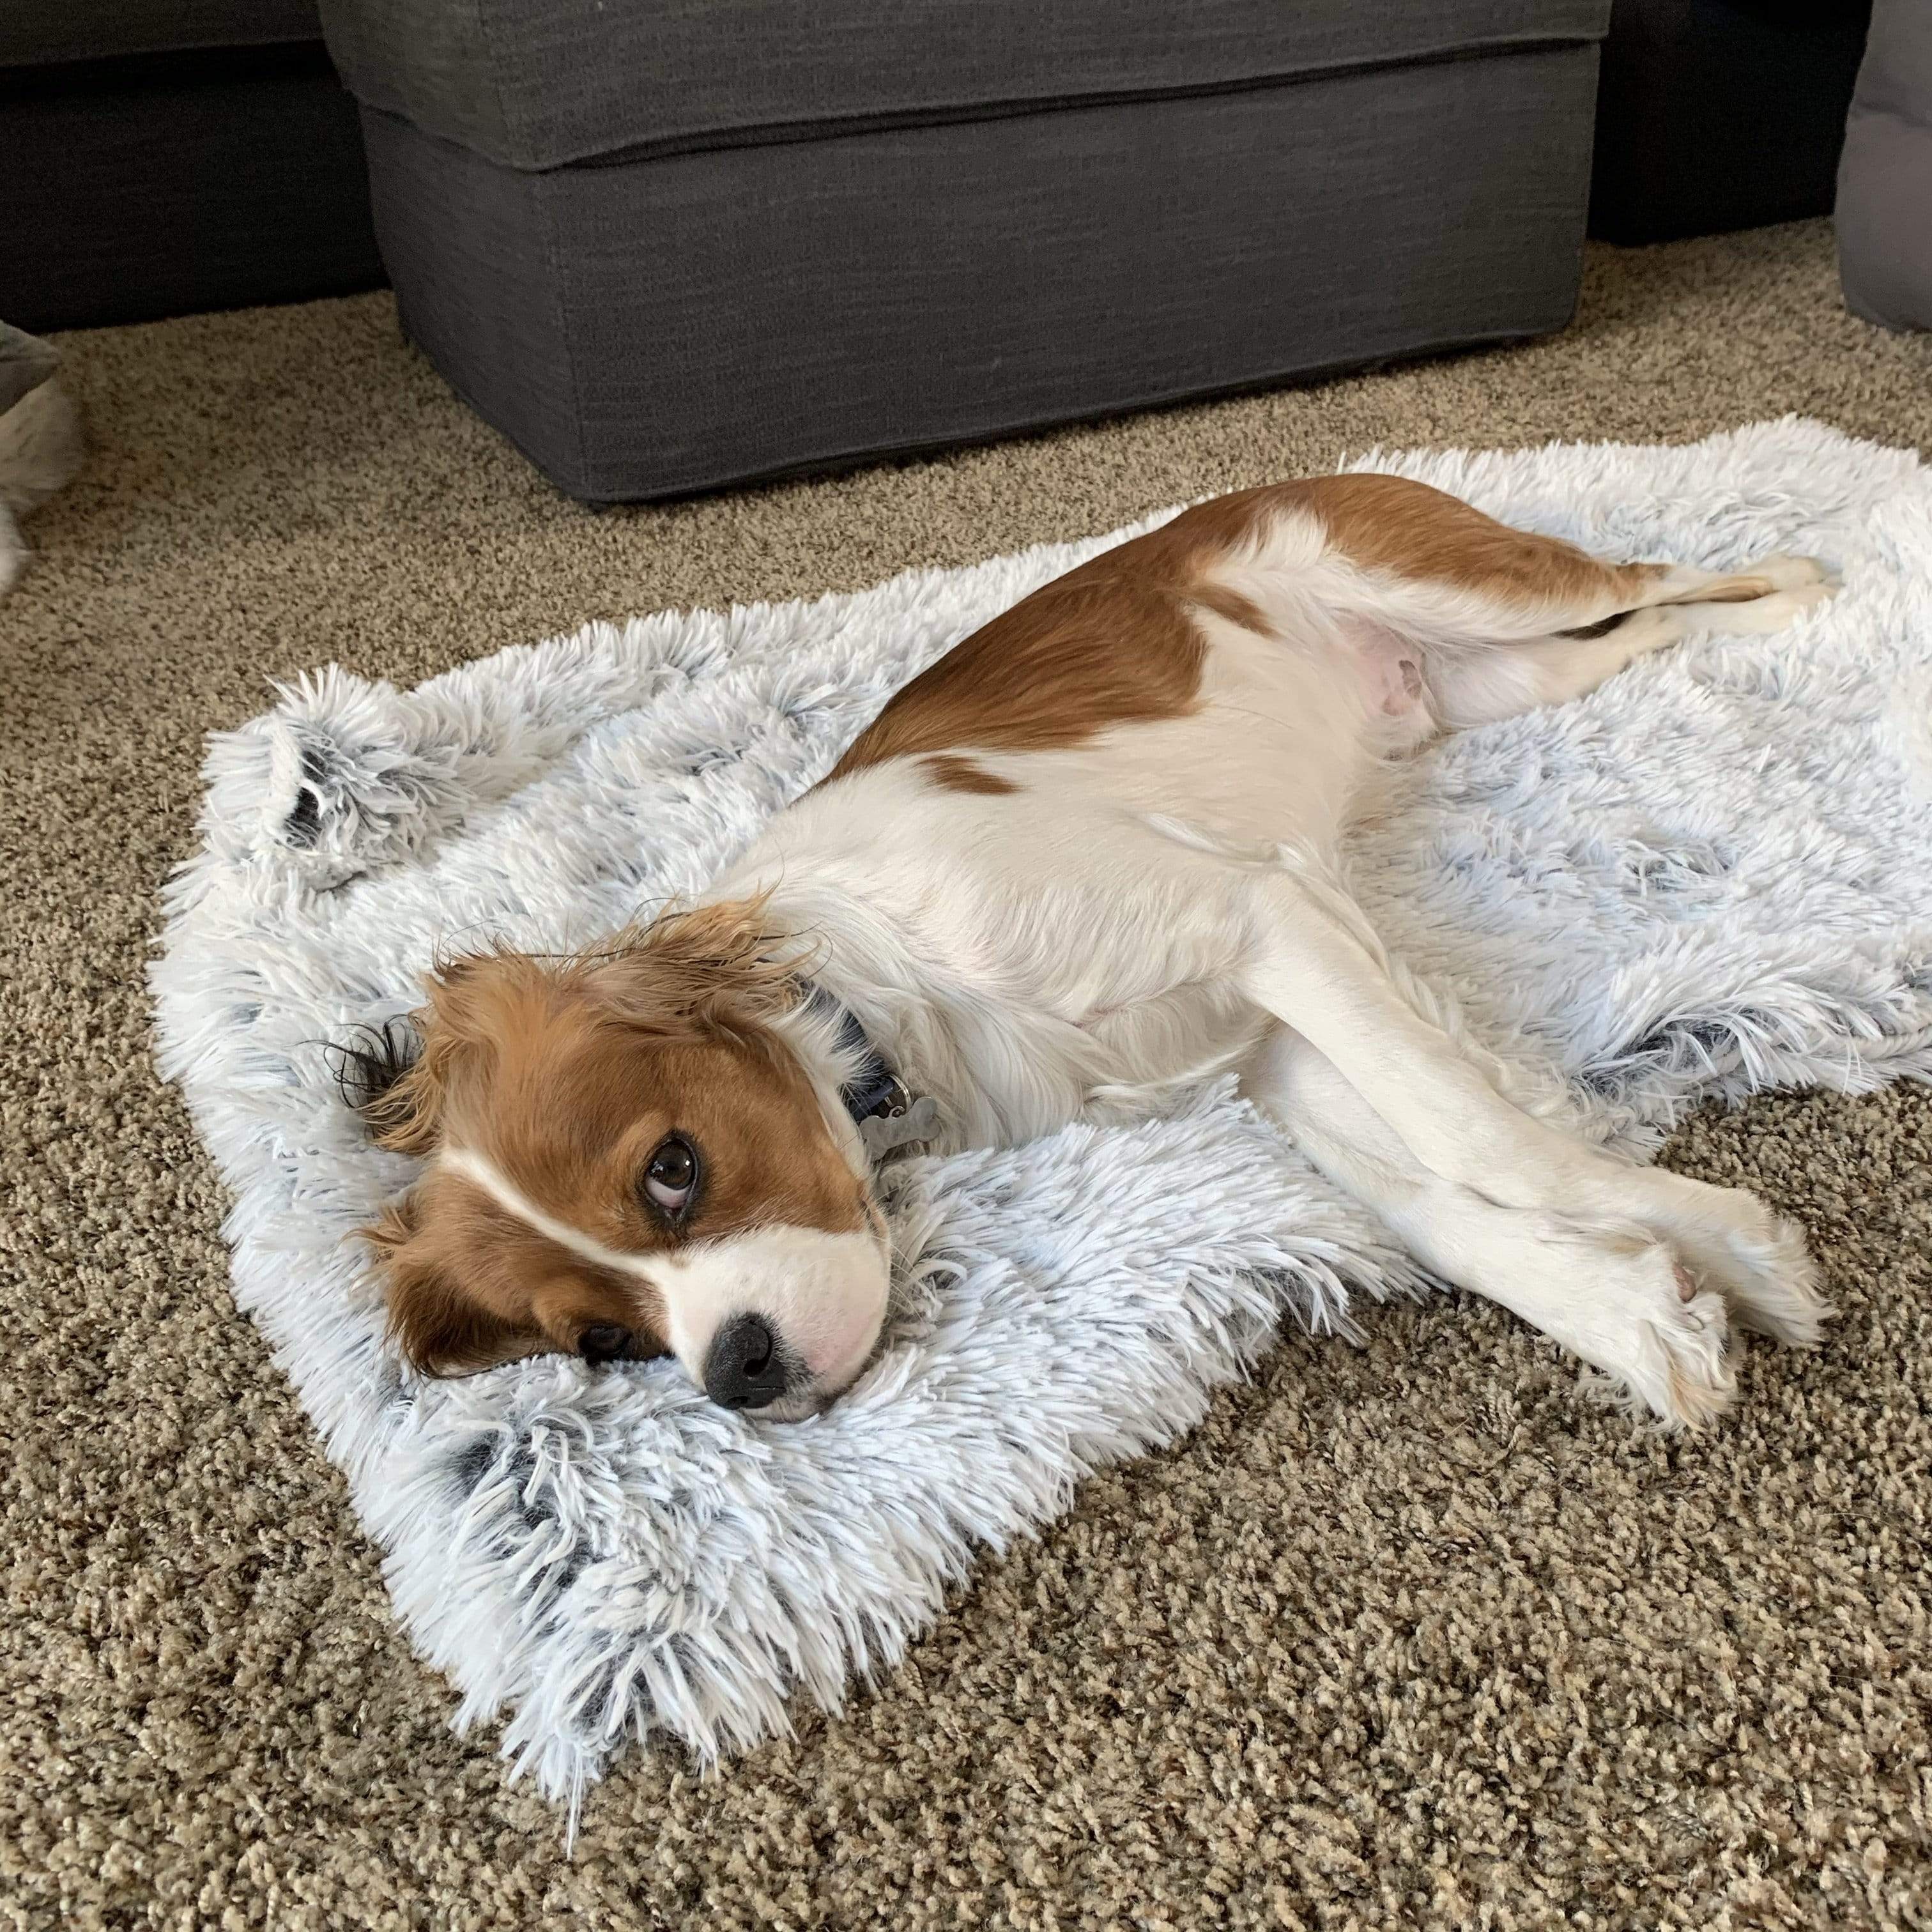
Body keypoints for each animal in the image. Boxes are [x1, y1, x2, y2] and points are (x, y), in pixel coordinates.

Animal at [355, 475, 1831, 1429]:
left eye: (674, 1170)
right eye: (604, 1340)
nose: (739, 1373)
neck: (902, 995)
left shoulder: (1260, 920)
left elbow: (1477, 1137)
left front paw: (1713, 1241)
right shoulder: (1268, 1041)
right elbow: (1430, 1201)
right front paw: (1641, 1301)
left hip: (1470, 589)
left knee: (1655, 577)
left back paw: (1808, 585)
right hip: (1507, 676)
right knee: (1650, 626)